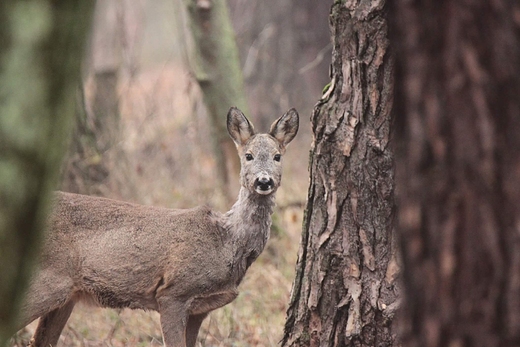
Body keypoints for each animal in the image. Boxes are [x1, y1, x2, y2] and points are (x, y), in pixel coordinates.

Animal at [14, 107, 298, 347]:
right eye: (248, 156)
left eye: (277, 156)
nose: (264, 181)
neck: (226, 241)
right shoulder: (173, 293)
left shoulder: (201, 309)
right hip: (48, 279)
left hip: (66, 296)